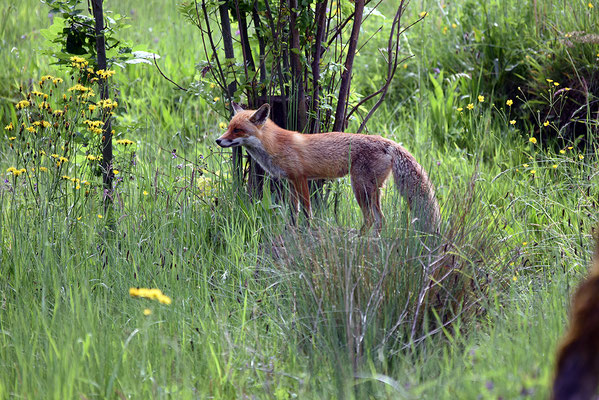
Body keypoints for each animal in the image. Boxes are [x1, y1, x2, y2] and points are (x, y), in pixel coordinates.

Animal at [216, 102, 440, 234]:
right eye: (229, 127)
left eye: (238, 130)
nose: (218, 141)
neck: (276, 145)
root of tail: (386, 142)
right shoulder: (290, 182)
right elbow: (294, 211)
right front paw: (292, 230)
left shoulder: (301, 179)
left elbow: (307, 211)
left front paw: (307, 230)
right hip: (372, 191)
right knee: (380, 219)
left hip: (360, 188)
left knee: (371, 219)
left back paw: (359, 238)